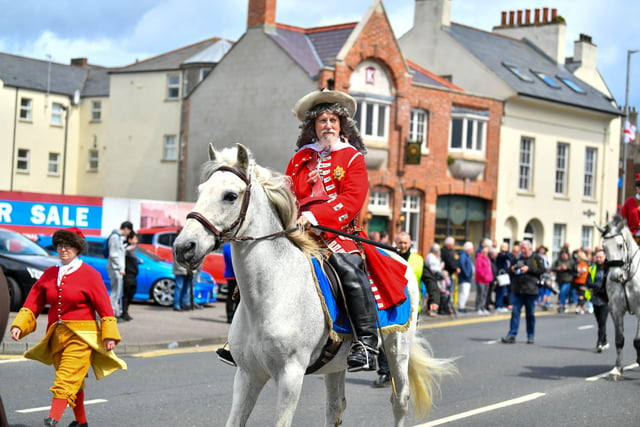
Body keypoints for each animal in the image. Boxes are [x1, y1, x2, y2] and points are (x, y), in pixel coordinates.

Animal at [175, 145, 456, 427]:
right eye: (200, 190)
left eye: (230, 196)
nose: (183, 247)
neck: (270, 294)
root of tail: (403, 259)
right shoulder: (247, 374)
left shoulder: (291, 376)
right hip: (337, 364)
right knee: (335, 407)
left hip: (397, 349)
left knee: (399, 401)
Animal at [596, 214, 640, 382]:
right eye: (604, 247)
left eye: (620, 245)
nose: (616, 276)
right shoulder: (615, 310)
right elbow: (619, 340)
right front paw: (617, 370)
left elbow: (637, 340)